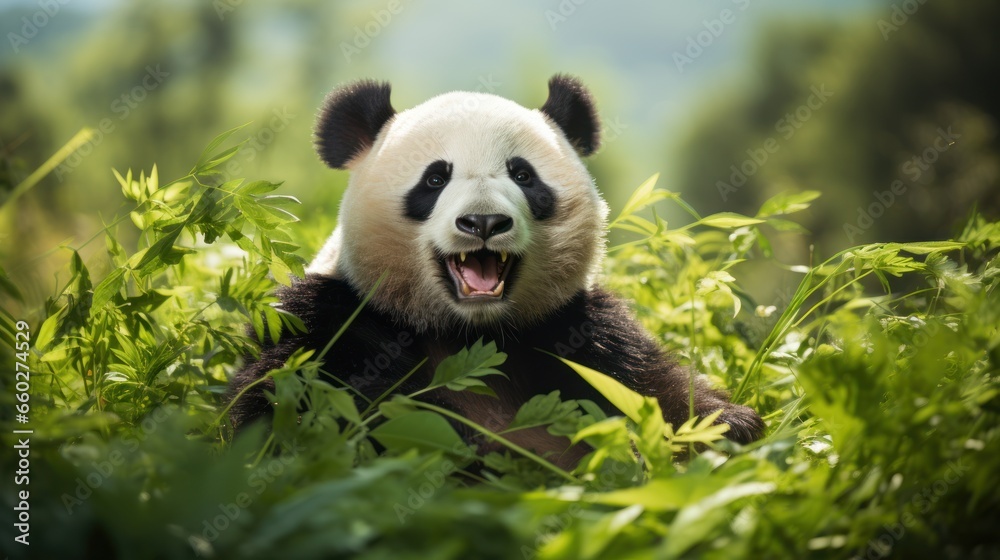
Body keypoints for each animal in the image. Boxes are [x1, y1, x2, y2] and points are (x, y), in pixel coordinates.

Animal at [228, 75, 765, 461]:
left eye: (523, 175)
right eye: (435, 179)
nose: (483, 221)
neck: (472, 331)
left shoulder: (575, 327)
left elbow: (650, 386)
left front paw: (726, 426)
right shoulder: (333, 321)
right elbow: (288, 410)